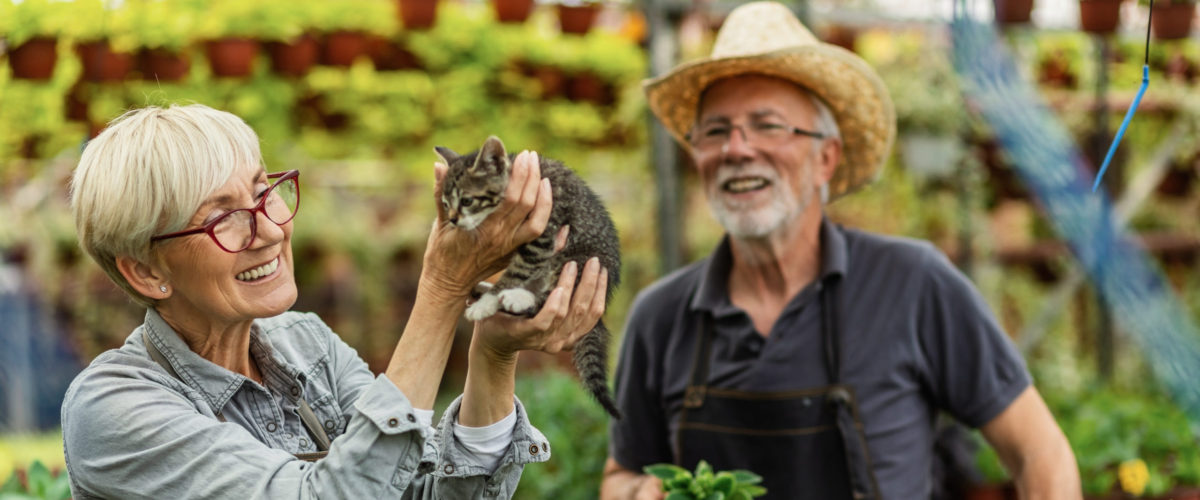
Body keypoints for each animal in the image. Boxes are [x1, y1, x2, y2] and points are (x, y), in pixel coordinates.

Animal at [434, 135, 619, 417]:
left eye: (466, 201)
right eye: (446, 204)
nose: (453, 220)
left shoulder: (545, 231)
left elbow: (517, 270)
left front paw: (487, 303)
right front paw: (488, 296)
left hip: (580, 258)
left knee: (555, 296)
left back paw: (517, 298)